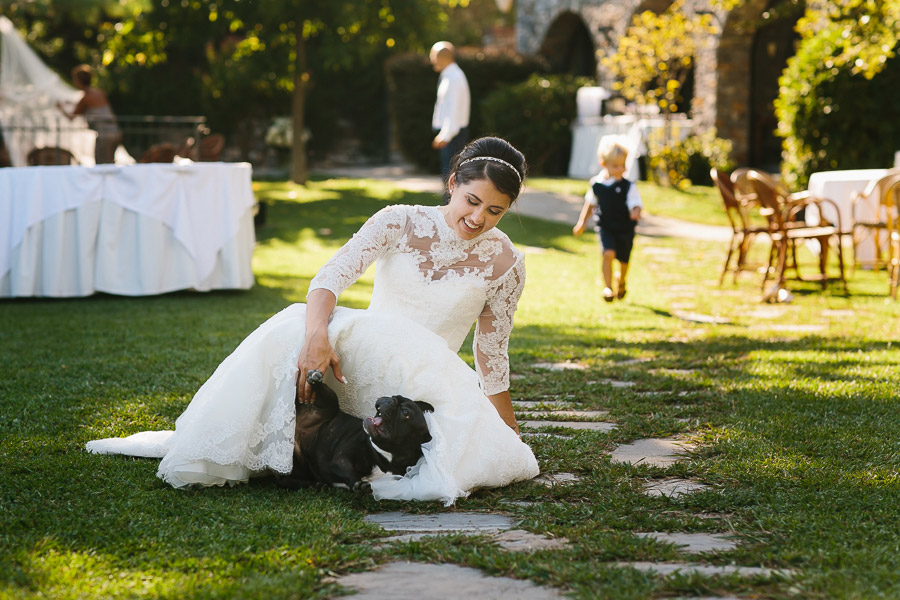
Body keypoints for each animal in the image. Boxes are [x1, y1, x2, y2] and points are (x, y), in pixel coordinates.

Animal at [282, 370, 436, 492]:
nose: (390, 400)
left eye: (405, 413)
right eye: (394, 396)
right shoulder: (341, 458)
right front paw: (358, 483)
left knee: (284, 480)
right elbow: (347, 470)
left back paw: (313, 485)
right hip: (330, 404)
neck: (388, 460)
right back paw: (314, 379)